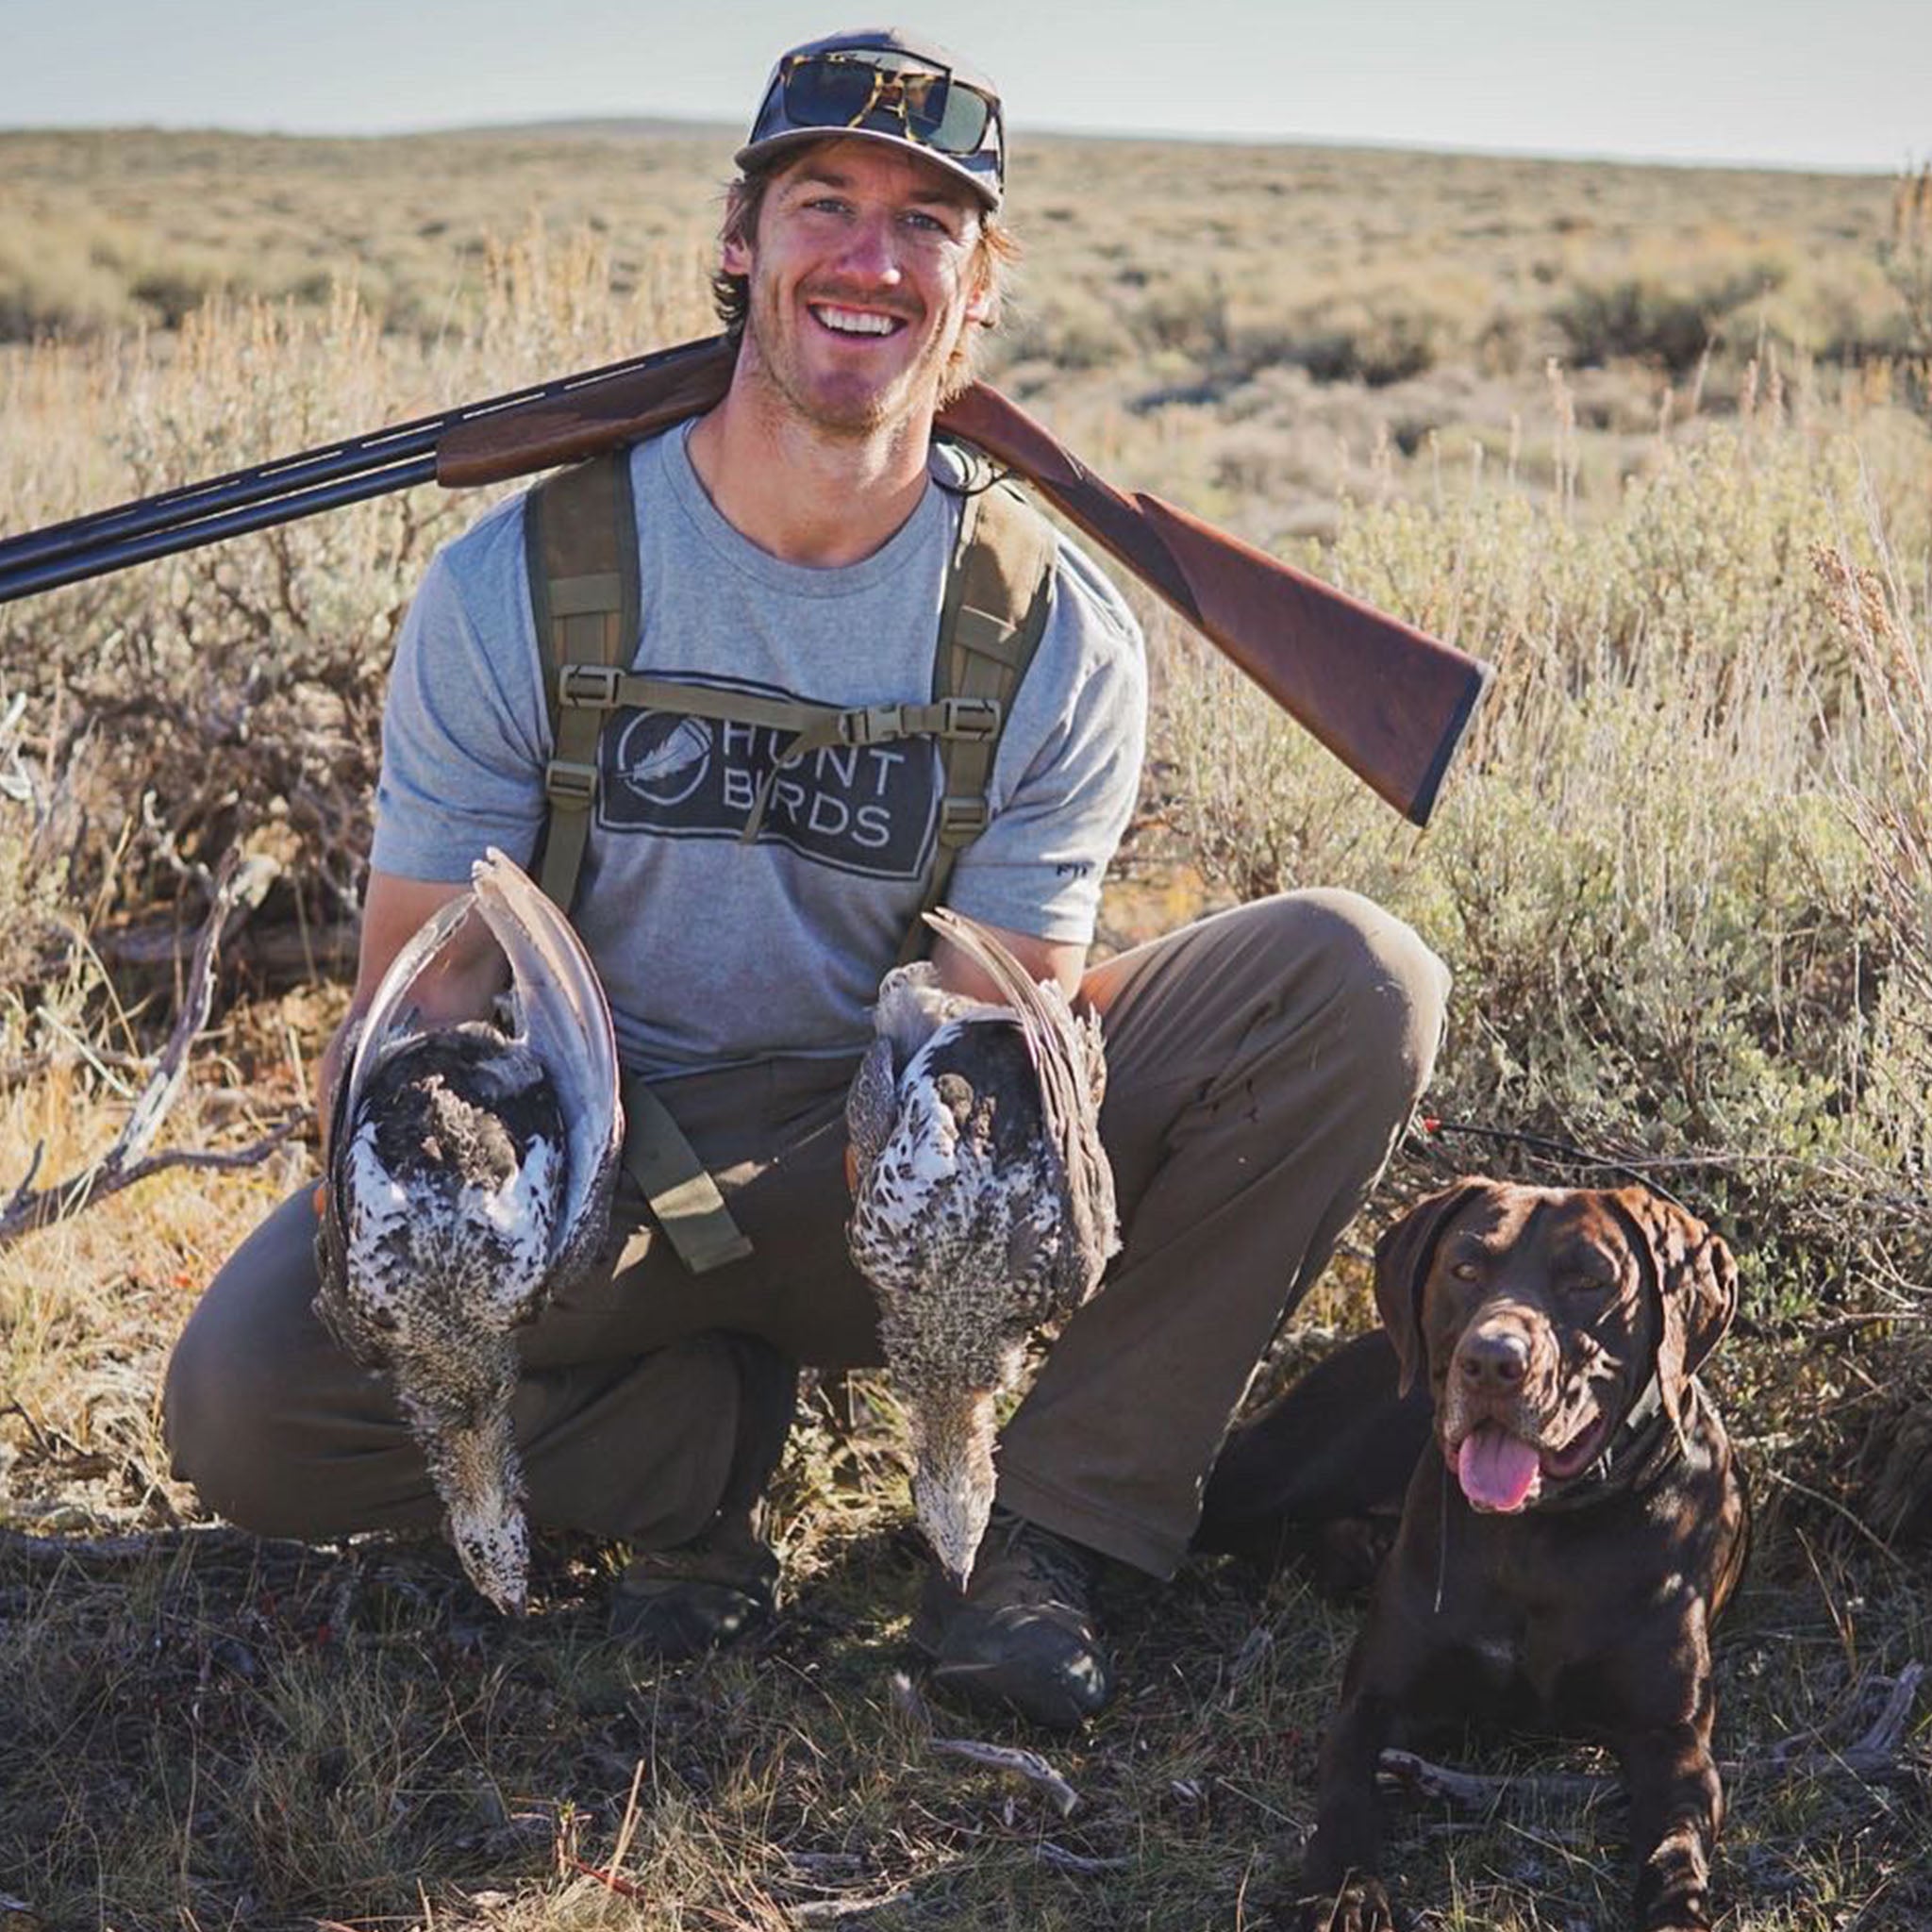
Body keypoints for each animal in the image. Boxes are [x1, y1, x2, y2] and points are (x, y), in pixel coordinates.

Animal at [1282, 1174, 1754, 1932]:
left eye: (1589, 1280)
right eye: (1465, 1268)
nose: (1492, 1363)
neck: (1537, 1538)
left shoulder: (1672, 1741)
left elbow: (1676, 1849)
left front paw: (1677, 1909)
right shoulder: (1373, 1703)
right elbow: (1346, 1796)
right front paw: (1346, 1895)